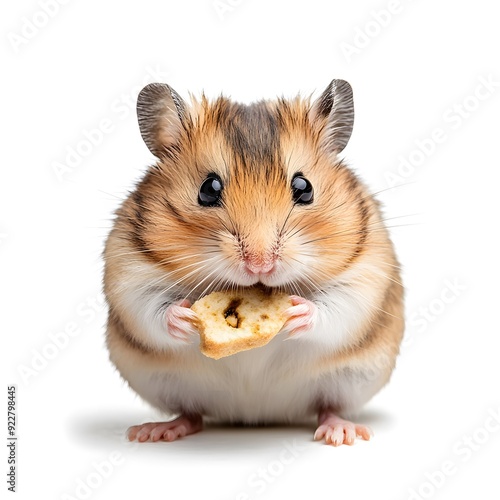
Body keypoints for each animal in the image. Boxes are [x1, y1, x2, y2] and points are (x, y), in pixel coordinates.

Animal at [103, 80, 404, 448]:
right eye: (208, 189)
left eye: (304, 187)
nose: (260, 264)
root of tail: (258, 414)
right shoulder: (129, 271)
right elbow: (150, 309)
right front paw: (184, 318)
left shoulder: (365, 275)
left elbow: (335, 308)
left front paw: (297, 312)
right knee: (192, 413)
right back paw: (154, 431)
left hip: (350, 379)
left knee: (327, 406)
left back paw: (341, 432)